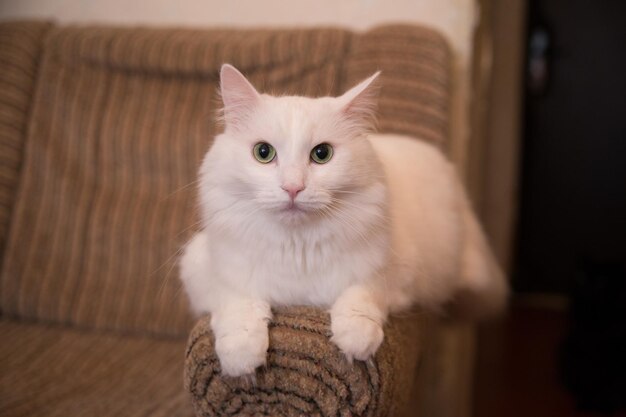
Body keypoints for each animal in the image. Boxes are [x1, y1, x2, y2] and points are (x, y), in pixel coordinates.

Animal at [177, 64, 508, 376]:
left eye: (322, 154)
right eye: (263, 152)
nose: (293, 188)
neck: (297, 248)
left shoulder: (397, 273)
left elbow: (362, 294)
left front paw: (355, 341)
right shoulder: (205, 271)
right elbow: (237, 305)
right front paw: (241, 360)